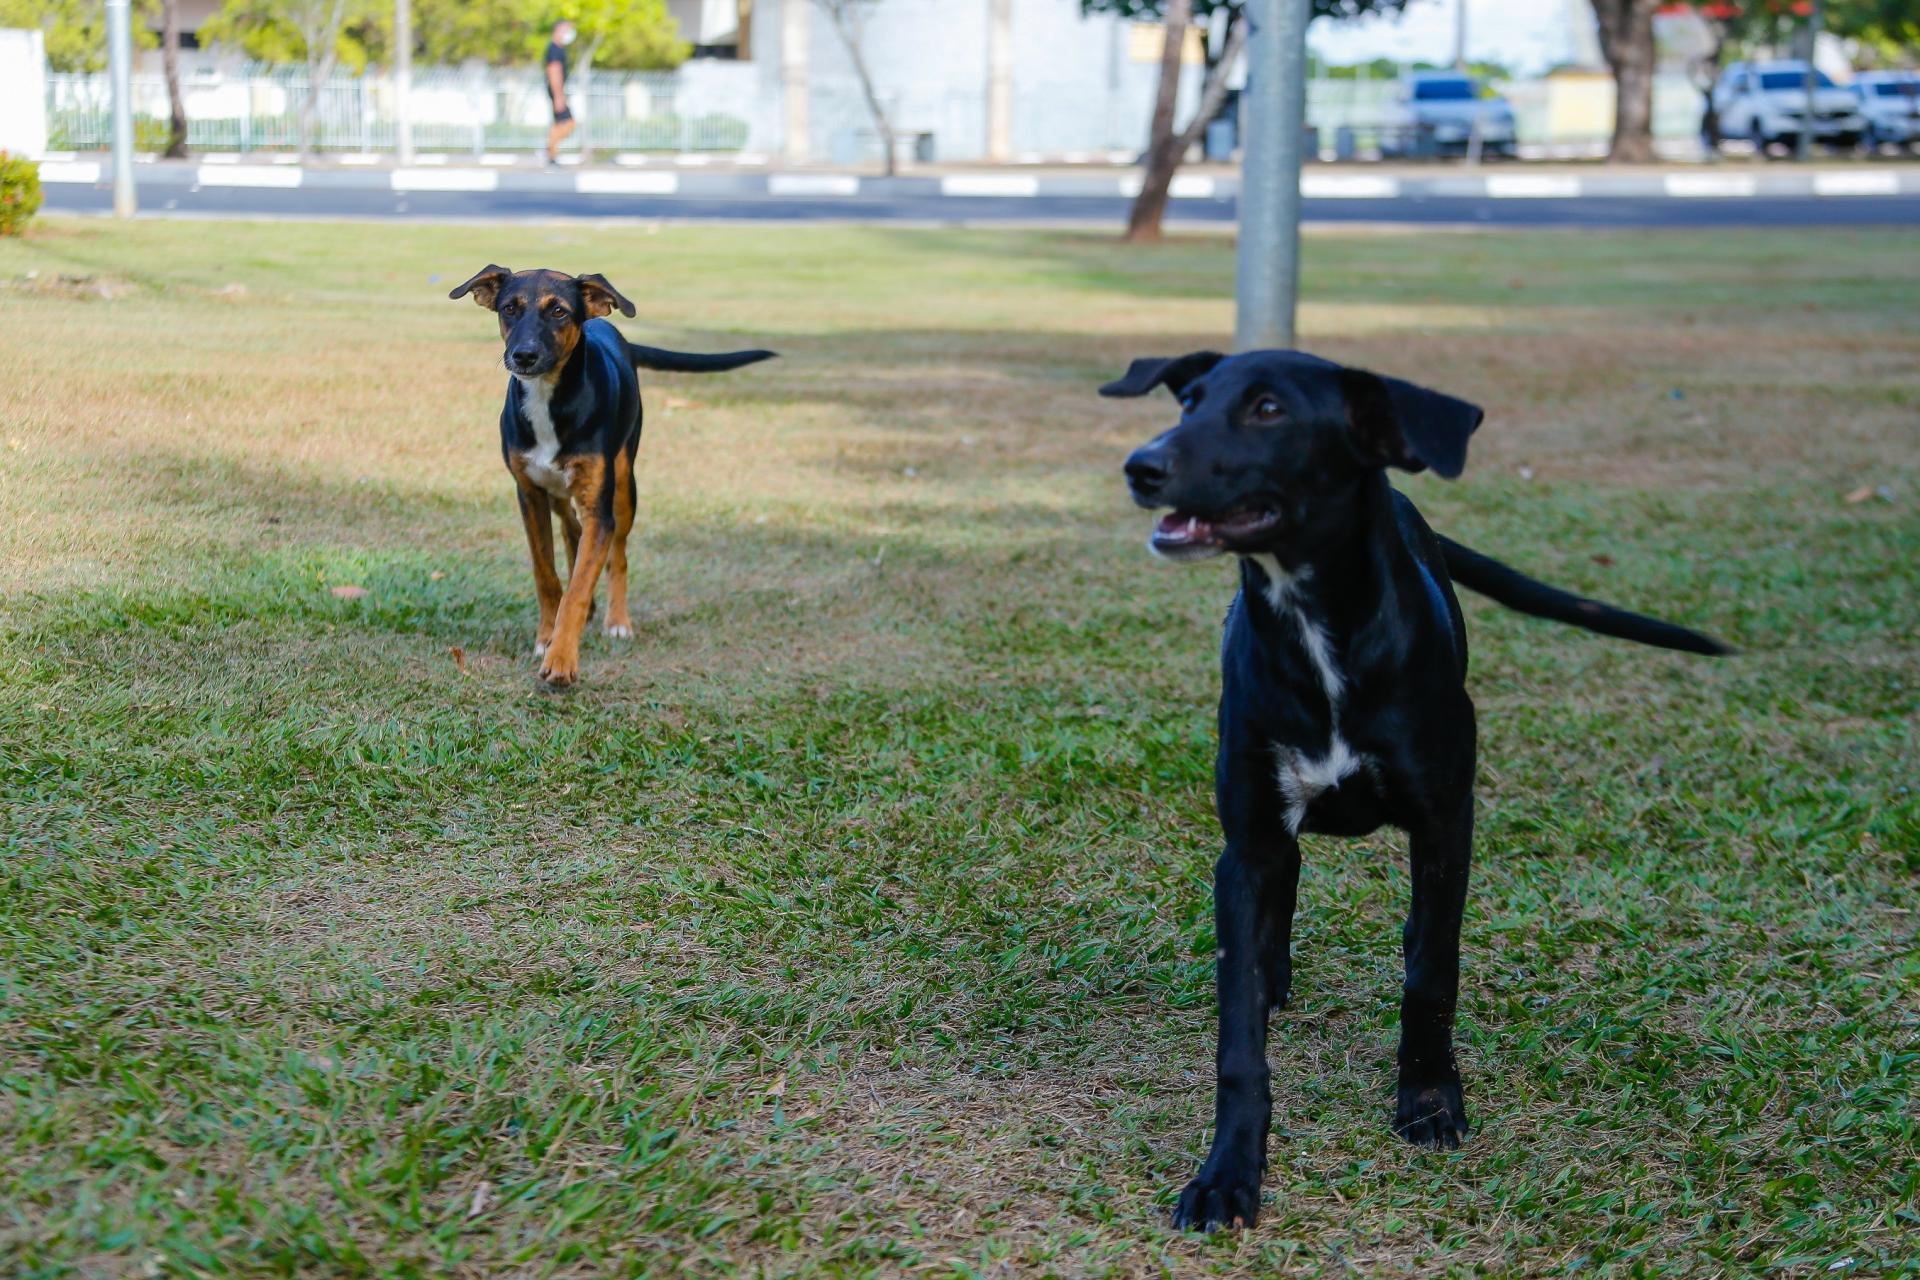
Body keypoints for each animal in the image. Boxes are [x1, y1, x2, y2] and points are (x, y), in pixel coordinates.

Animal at [449, 266, 771, 690]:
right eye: (509, 309)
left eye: (559, 311)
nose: (524, 355)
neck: (549, 398)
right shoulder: (529, 494)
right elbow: (546, 573)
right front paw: (546, 636)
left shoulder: (600, 508)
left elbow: (580, 587)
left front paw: (561, 658)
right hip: (561, 494)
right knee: (571, 528)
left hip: (623, 485)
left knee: (617, 554)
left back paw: (617, 620)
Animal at [1105, 347, 1735, 1228]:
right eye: (1189, 400)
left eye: (1268, 409)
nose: (1142, 465)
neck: (1315, 626)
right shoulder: (1251, 841)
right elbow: (1239, 1033)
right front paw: (1228, 1172)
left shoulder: (1446, 825)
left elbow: (1431, 968)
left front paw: (1430, 1100)